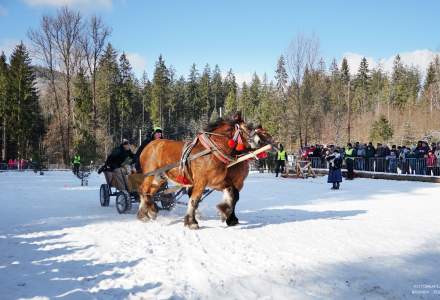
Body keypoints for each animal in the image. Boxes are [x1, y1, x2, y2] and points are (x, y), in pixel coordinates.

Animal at [138, 118, 274, 229]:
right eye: (246, 128)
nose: (261, 142)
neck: (212, 152)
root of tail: (149, 145)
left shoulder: (222, 181)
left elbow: (233, 196)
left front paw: (226, 214)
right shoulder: (202, 181)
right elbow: (194, 200)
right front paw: (192, 222)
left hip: (159, 177)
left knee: (150, 193)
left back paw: (150, 211)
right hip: (150, 175)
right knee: (143, 190)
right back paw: (144, 214)